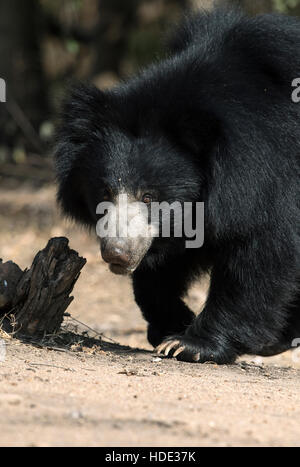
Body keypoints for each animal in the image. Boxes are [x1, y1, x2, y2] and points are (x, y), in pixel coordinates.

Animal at [55, 8, 298, 366]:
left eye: (149, 196)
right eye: (105, 193)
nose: (116, 253)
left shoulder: (269, 179)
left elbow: (261, 251)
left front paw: (191, 345)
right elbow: (164, 264)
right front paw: (171, 325)